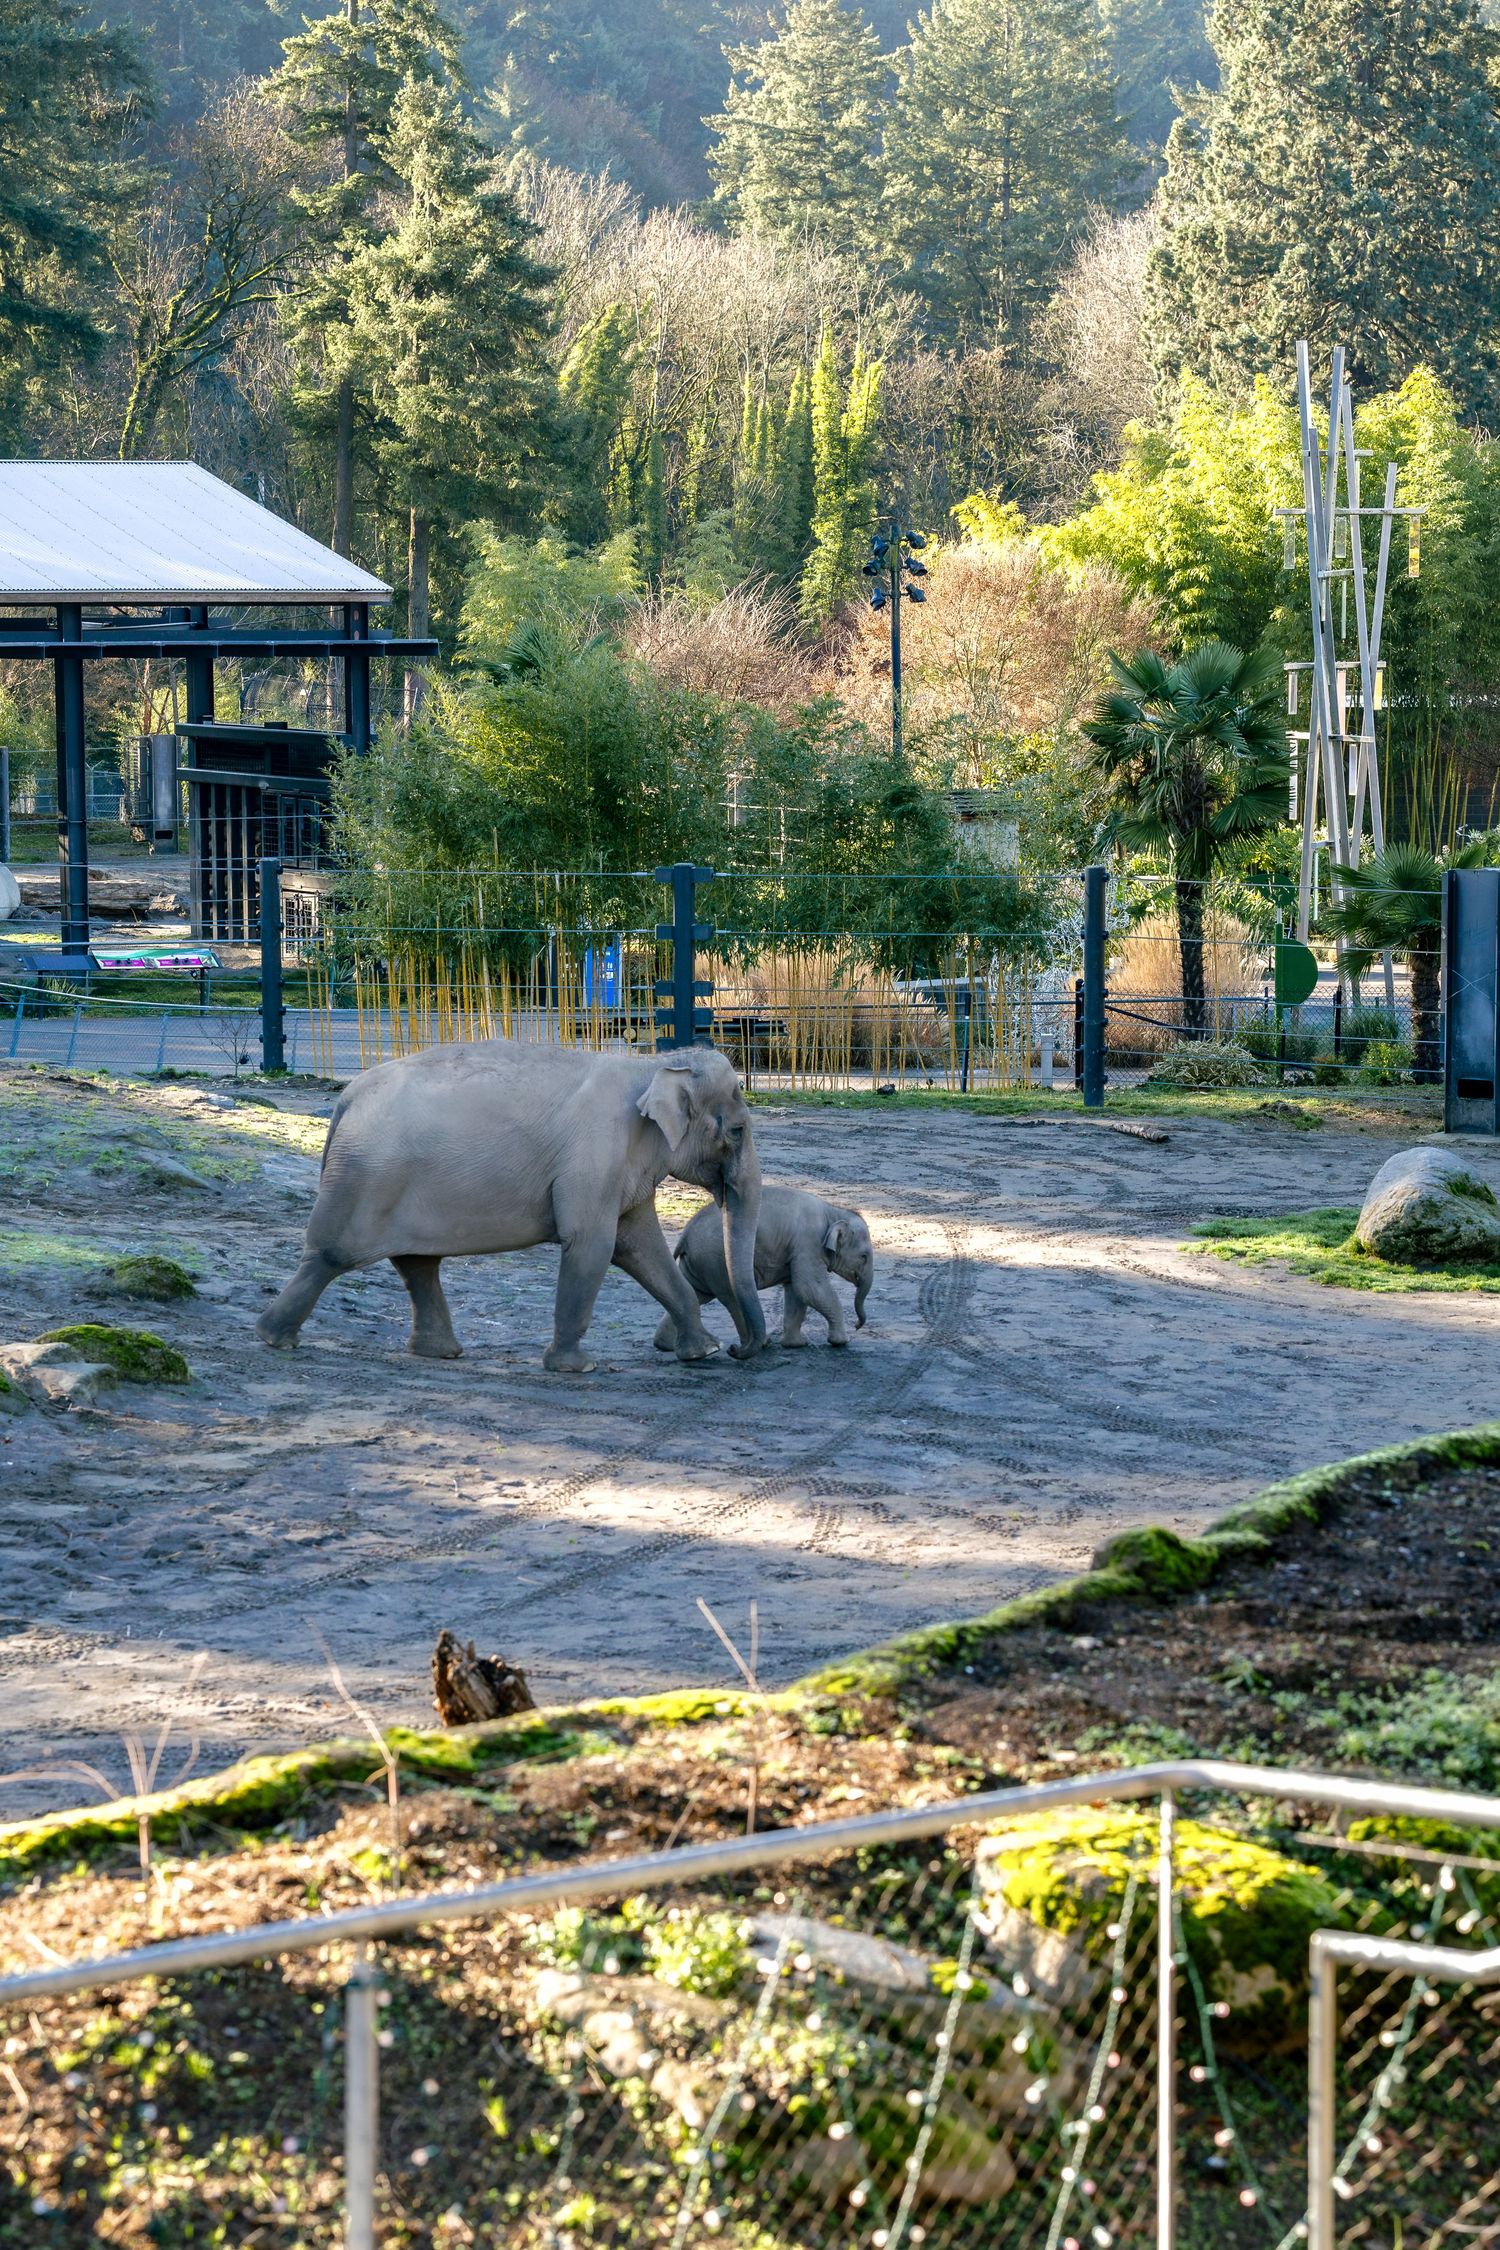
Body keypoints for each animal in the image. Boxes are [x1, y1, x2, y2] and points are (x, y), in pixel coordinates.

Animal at [256, 1040, 768, 1371]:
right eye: (738, 1130)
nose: (740, 1349)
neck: (653, 1065)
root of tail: (346, 1097)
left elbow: (639, 1247)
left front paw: (701, 1352)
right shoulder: (596, 1151)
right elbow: (592, 1243)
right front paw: (575, 1367)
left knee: (416, 1263)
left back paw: (439, 1354)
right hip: (367, 1176)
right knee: (331, 1255)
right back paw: (273, 1338)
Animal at [656, 1186, 874, 1353]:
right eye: (864, 1256)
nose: (857, 1325)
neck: (833, 1212)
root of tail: (685, 1235)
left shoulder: (797, 1251)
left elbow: (796, 1292)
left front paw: (796, 1344)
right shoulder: (807, 1245)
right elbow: (810, 1288)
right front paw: (841, 1342)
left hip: (700, 1263)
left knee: (694, 1293)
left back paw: (668, 1346)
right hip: (714, 1261)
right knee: (731, 1298)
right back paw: (758, 1344)